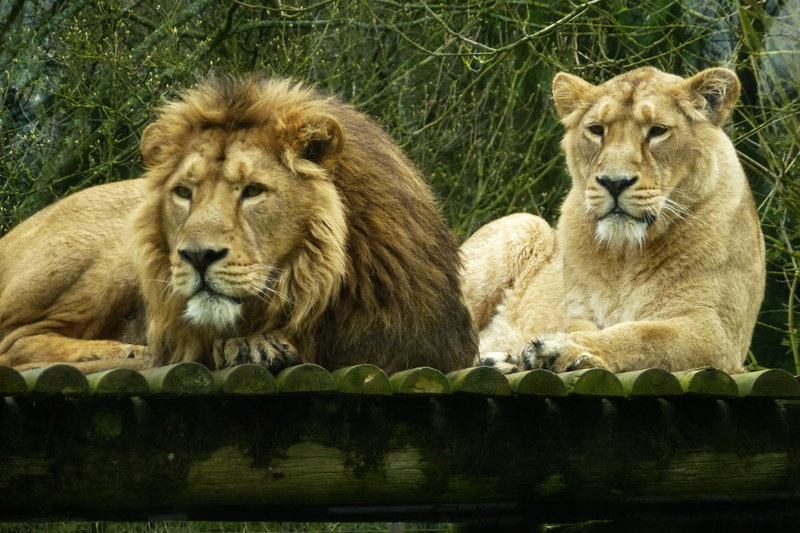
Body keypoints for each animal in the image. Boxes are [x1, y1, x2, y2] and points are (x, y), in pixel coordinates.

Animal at [0, 77, 477, 374]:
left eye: (252, 191)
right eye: (184, 192)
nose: (197, 256)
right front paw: (248, 345)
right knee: (15, 343)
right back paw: (129, 351)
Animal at [461, 67, 766, 375]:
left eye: (657, 130)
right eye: (597, 130)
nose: (614, 182)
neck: (625, 256)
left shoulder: (719, 333)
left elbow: (645, 335)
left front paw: (560, 348)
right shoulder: (579, 311)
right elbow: (595, 330)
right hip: (525, 224)